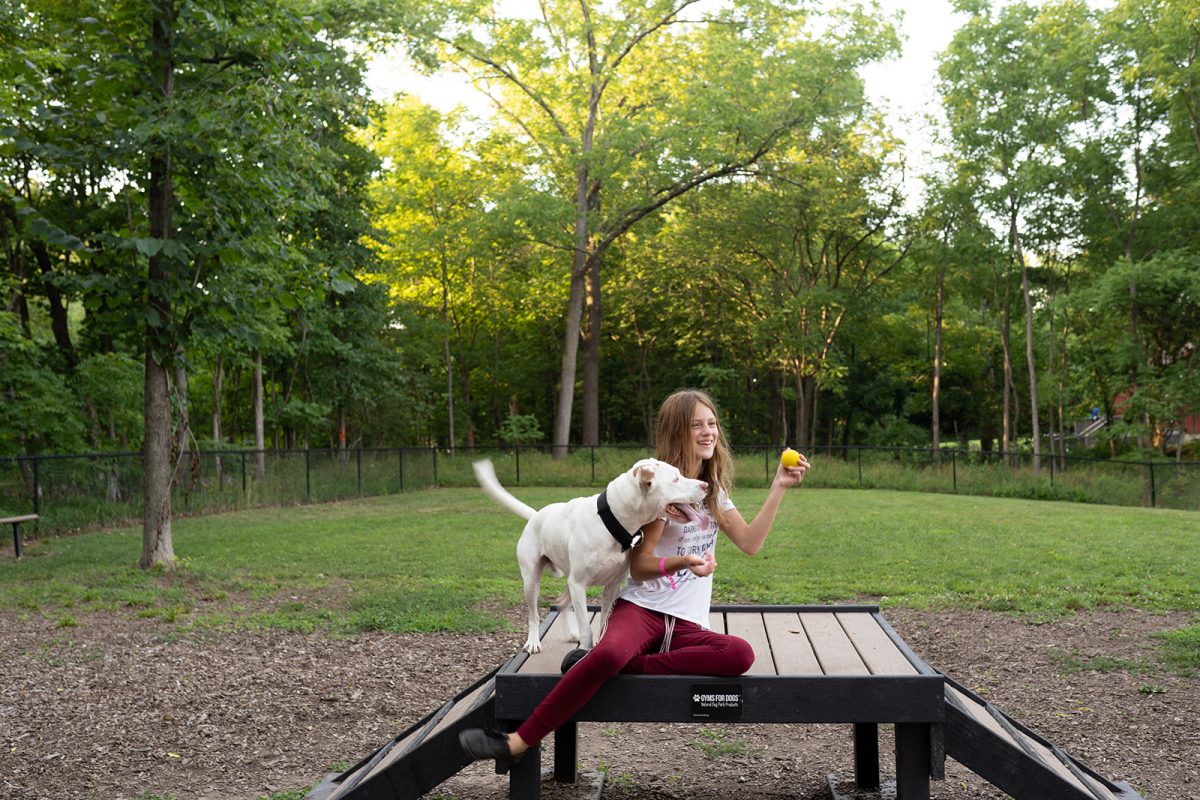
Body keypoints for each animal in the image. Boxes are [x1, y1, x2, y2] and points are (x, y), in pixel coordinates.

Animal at [472, 460, 705, 652]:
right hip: (532, 581)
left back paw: (570, 632)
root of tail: (536, 516)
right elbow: (587, 628)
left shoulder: (610, 586)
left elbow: (603, 622)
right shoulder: (579, 584)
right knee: (533, 614)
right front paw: (584, 649)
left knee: (561, 602)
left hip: (569, 581)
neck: (611, 521)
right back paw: (533, 642)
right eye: (675, 479)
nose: (705, 485)